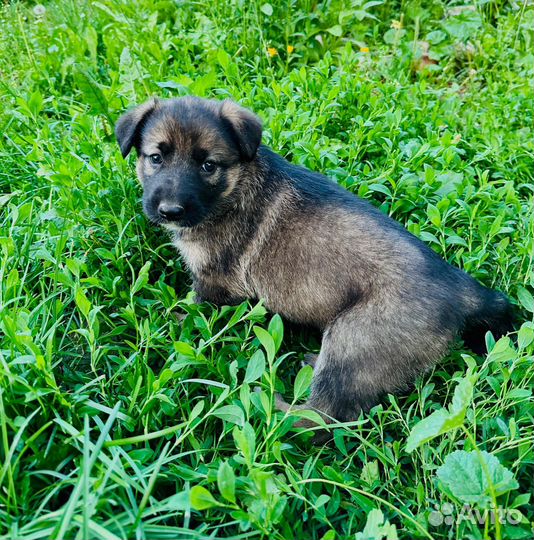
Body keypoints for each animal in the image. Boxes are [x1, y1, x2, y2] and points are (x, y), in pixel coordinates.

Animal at [116, 98, 516, 426]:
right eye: (155, 158)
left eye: (208, 165)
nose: (170, 211)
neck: (236, 184)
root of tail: (462, 290)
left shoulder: (214, 282)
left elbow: (189, 312)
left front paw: (160, 326)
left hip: (356, 342)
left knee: (325, 416)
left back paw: (270, 404)